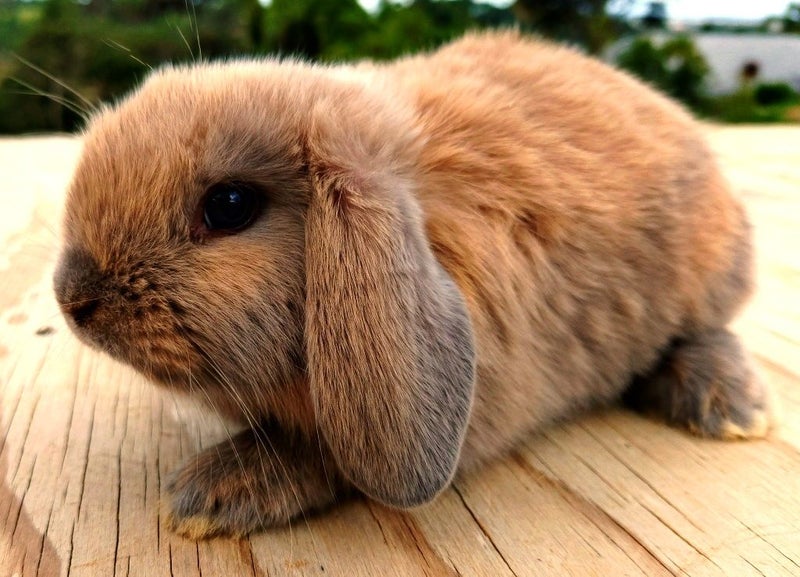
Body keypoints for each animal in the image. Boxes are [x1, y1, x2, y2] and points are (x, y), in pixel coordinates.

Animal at [53, 30, 772, 539]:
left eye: (229, 205)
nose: (72, 298)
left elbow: (324, 452)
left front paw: (206, 498)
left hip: (706, 278)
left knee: (708, 331)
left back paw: (733, 410)